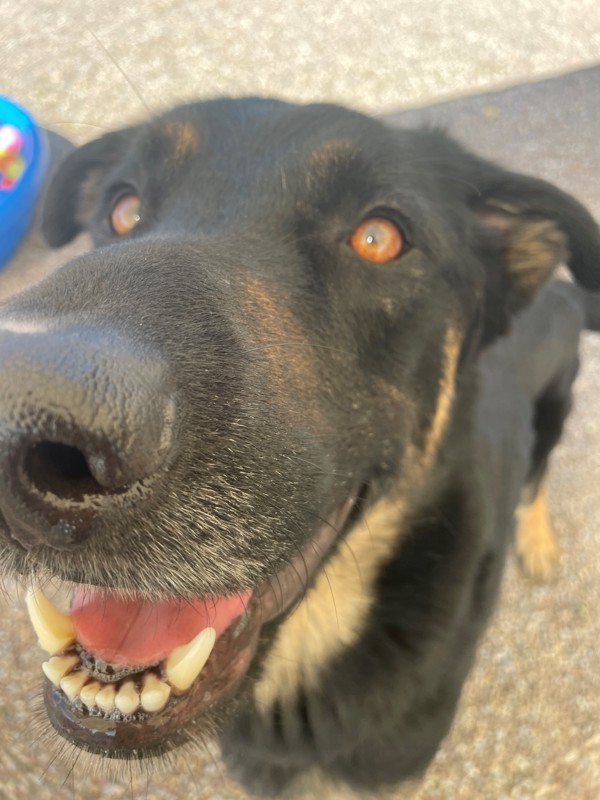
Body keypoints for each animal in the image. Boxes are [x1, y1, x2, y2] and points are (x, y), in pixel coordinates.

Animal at [0, 97, 596, 796]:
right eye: (123, 209)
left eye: (378, 238)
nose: (24, 414)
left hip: (557, 404)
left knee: (538, 476)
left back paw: (538, 540)